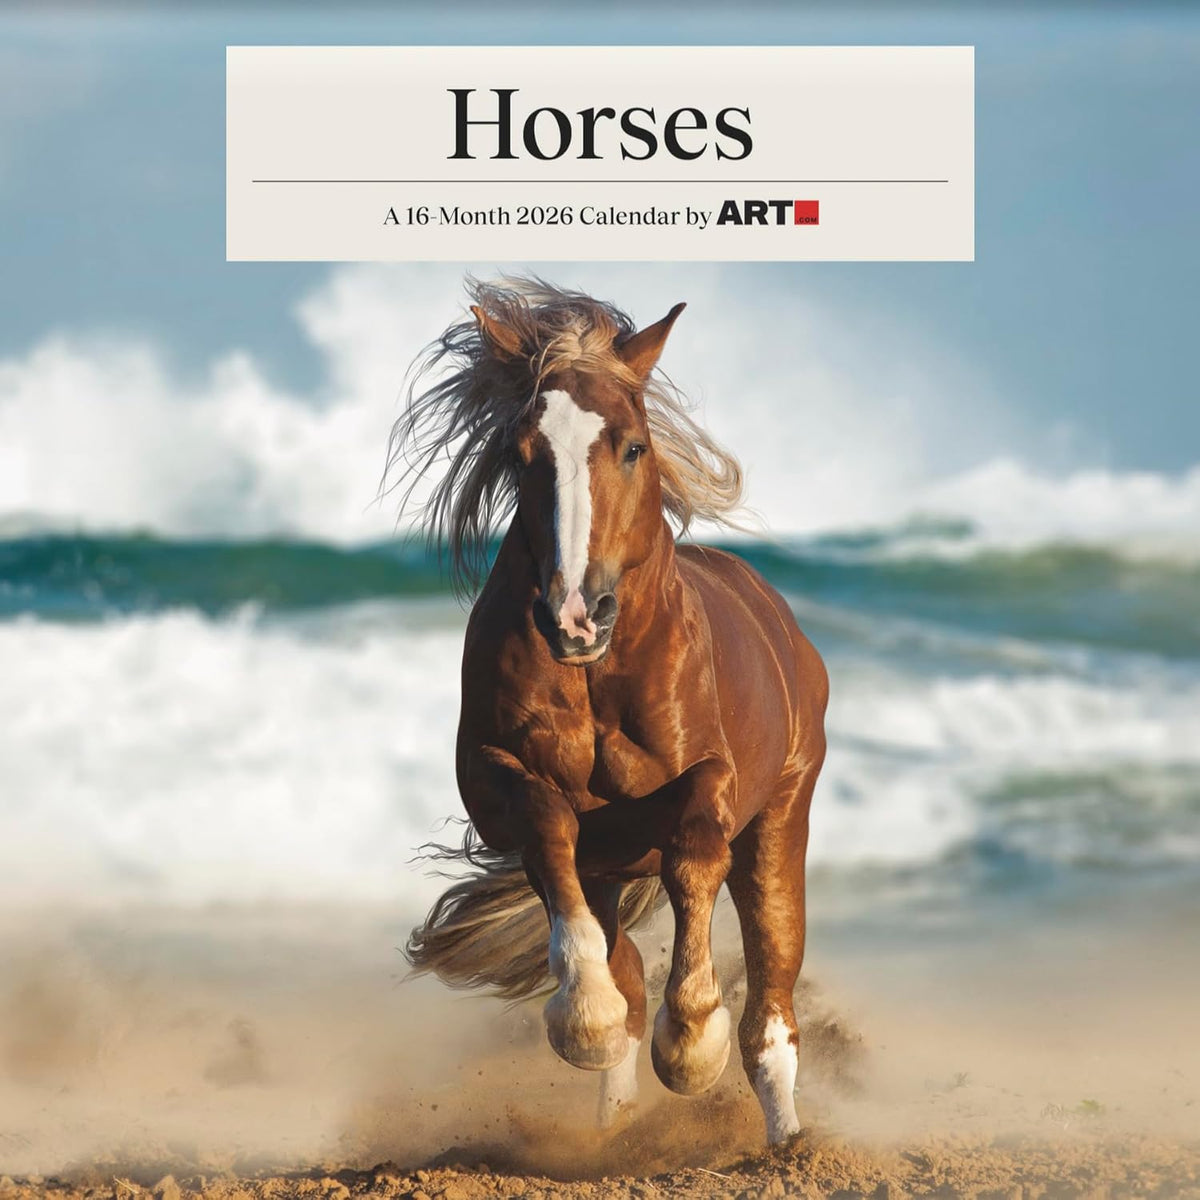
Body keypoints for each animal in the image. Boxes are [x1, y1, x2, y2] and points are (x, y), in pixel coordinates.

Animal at [395, 278, 828, 1145]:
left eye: (631, 446)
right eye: (521, 454)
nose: (574, 615)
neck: (598, 677)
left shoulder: (713, 780)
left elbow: (694, 852)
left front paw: (691, 1043)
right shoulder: (497, 781)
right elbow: (549, 829)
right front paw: (584, 1019)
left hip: (782, 817)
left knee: (772, 993)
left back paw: (785, 1139)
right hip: (609, 867)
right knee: (623, 963)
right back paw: (617, 1117)